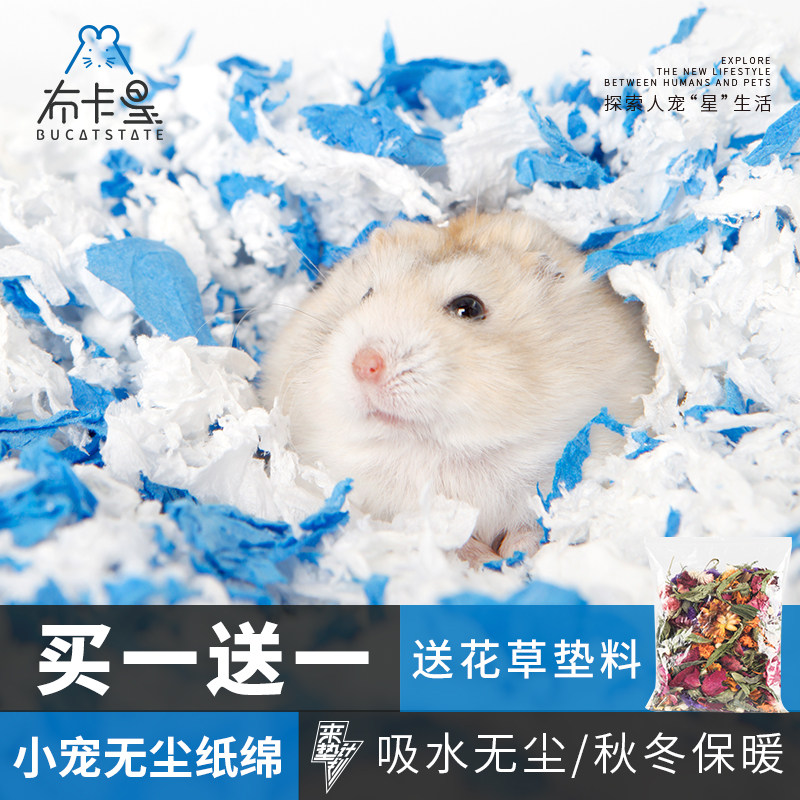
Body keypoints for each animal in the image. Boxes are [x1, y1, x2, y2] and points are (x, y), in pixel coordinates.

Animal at [261, 212, 655, 563]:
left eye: (469, 307)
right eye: (366, 294)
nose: (364, 365)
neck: (442, 449)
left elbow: (530, 526)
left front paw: (514, 557)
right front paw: (484, 559)